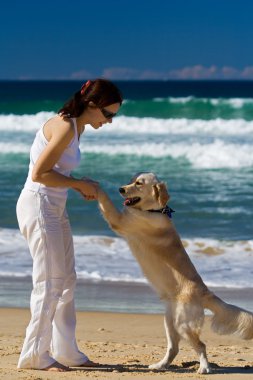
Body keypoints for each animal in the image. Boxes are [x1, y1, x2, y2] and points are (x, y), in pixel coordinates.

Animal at [97, 173, 253, 374]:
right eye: (131, 180)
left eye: (139, 183)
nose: (120, 189)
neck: (153, 211)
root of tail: (205, 291)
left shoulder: (118, 220)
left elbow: (104, 199)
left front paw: (92, 185)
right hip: (170, 321)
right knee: (174, 347)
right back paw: (160, 365)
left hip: (183, 324)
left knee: (201, 345)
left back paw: (204, 368)